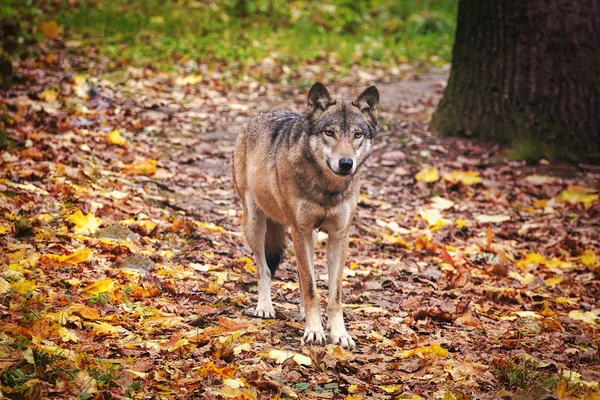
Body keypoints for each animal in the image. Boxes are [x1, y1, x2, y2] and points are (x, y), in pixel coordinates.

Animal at [232, 83, 378, 348]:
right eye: (329, 132)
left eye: (357, 135)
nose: (346, 163)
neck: (327, 189)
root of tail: (260, 115)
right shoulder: (299, 230)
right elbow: (311, 288)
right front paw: (314, 331)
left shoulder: (339, 236)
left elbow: (332, 294)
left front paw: (339, 334)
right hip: (256, 224)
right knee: (264, 269)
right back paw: (264, 307)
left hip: (309, 235)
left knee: (301, 276)